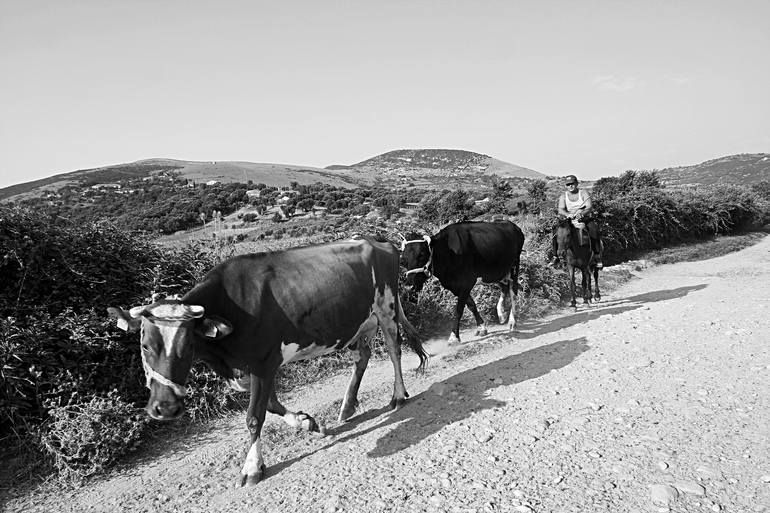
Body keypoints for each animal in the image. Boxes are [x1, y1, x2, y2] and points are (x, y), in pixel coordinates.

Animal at [106, 236, 426, 484]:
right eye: (145, 345)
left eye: (187, 345)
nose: (165, 408)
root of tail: (377, 241)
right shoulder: (251, 368)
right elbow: (271, 404)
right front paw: (308, 422)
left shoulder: (264, 362)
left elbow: (253, 417)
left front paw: (251, 467)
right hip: (353, 324)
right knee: (363, 356)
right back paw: (347, 406)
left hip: (386, 307)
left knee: (394, 350)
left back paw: (398, 396)